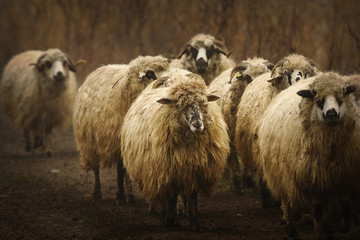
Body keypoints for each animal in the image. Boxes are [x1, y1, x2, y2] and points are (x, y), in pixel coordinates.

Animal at [73, 55, 170, 203]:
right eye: (149, 74)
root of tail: (99, 68)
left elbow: (126, 169)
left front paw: (128, 195)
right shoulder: (116, 140)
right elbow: (120, 169)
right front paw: (120, 196)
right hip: (89, 141)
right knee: (95, 167)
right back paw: (96, 192)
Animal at [119, 72, 229, 230]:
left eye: (204, 103)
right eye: (179, 105)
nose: (197, 124)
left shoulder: (195, 171)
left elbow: (192, 197)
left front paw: (194, 222)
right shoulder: (167, 171)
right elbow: (170, 198)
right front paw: (170, 220)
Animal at [208, 57, 272, 193]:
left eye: (266, 74)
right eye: (247, 77)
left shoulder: (246, 134)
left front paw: (248, 181)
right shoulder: (230, 137)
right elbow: (233, 161)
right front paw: (238, 184)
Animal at [256, 72, 360, 239]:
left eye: (342, 94)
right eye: (317, 98)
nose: (332, 113)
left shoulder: (339, 177)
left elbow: (338, 206)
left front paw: (333, 230)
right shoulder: (311, 179)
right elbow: (318, 210)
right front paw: (319, 233)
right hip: (282, 173)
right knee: (287, 201)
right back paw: (291, 228)